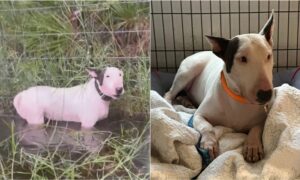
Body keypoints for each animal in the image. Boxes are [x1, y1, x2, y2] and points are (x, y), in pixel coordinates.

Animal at [165, 11, 276, 163]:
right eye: (242, 59)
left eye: (268, 56)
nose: (266, 94)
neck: (239, 99)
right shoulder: (199, 115)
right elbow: (207, 127)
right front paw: (209, 143)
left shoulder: (262, 117)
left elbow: (257, 128)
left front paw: (252, 146)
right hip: (188, 70)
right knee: (169, 94)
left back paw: (185, 101)